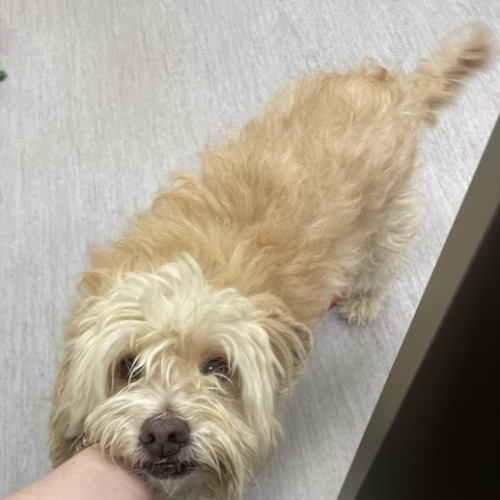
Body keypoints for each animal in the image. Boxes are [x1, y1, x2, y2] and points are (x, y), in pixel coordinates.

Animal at [49, 26, 492, 500]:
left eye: (217, 366)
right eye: (128, 366)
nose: (165, 432)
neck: (196, 263)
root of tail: (393, 87)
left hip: (389, 222)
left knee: (381, 265)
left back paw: (363, 300)